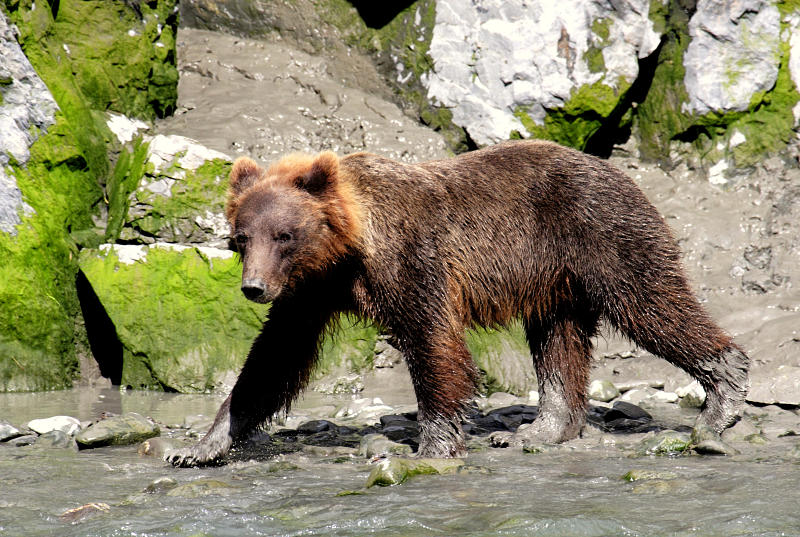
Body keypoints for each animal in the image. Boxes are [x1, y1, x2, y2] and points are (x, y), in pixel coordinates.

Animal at [167, 140, 752, 466]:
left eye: (283, 234)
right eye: (241, 238)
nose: (254, 287)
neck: (351, 249)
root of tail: (625, 173)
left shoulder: (411, 260)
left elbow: (432, 341)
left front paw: (433, 444)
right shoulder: (311, 292)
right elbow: (273, 359)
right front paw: (200, 445)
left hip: (602, 236)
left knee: (652, 303)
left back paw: (722, 396)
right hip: (556, 280)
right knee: (558, 342)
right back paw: (540, 428)